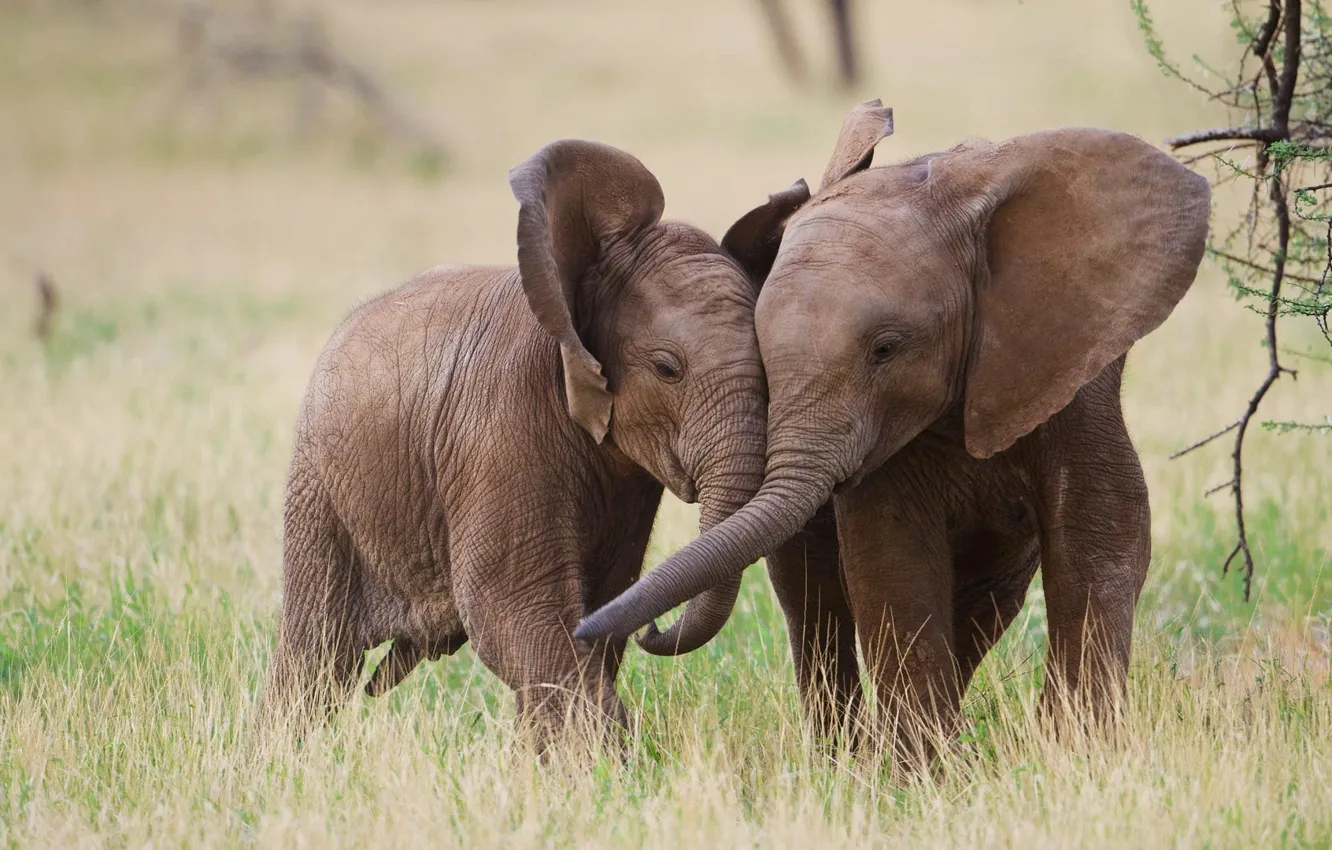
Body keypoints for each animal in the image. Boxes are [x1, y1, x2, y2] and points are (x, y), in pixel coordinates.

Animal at [261, 139, 782, 745]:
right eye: (667, 369)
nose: (656, 628)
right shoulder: (501, 429)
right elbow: (513, 612)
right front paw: (608, 761)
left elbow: (600, 603)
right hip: (320, 486)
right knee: (317, 653)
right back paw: (279, 753)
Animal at [576, 100, 1212, 758]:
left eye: (885, 349)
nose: (639, 628)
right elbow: (891, 552)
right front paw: (924, 769)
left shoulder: (1072, 366)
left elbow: (1102, 527)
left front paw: (1075, 751)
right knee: (813, 595)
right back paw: (845, 755)